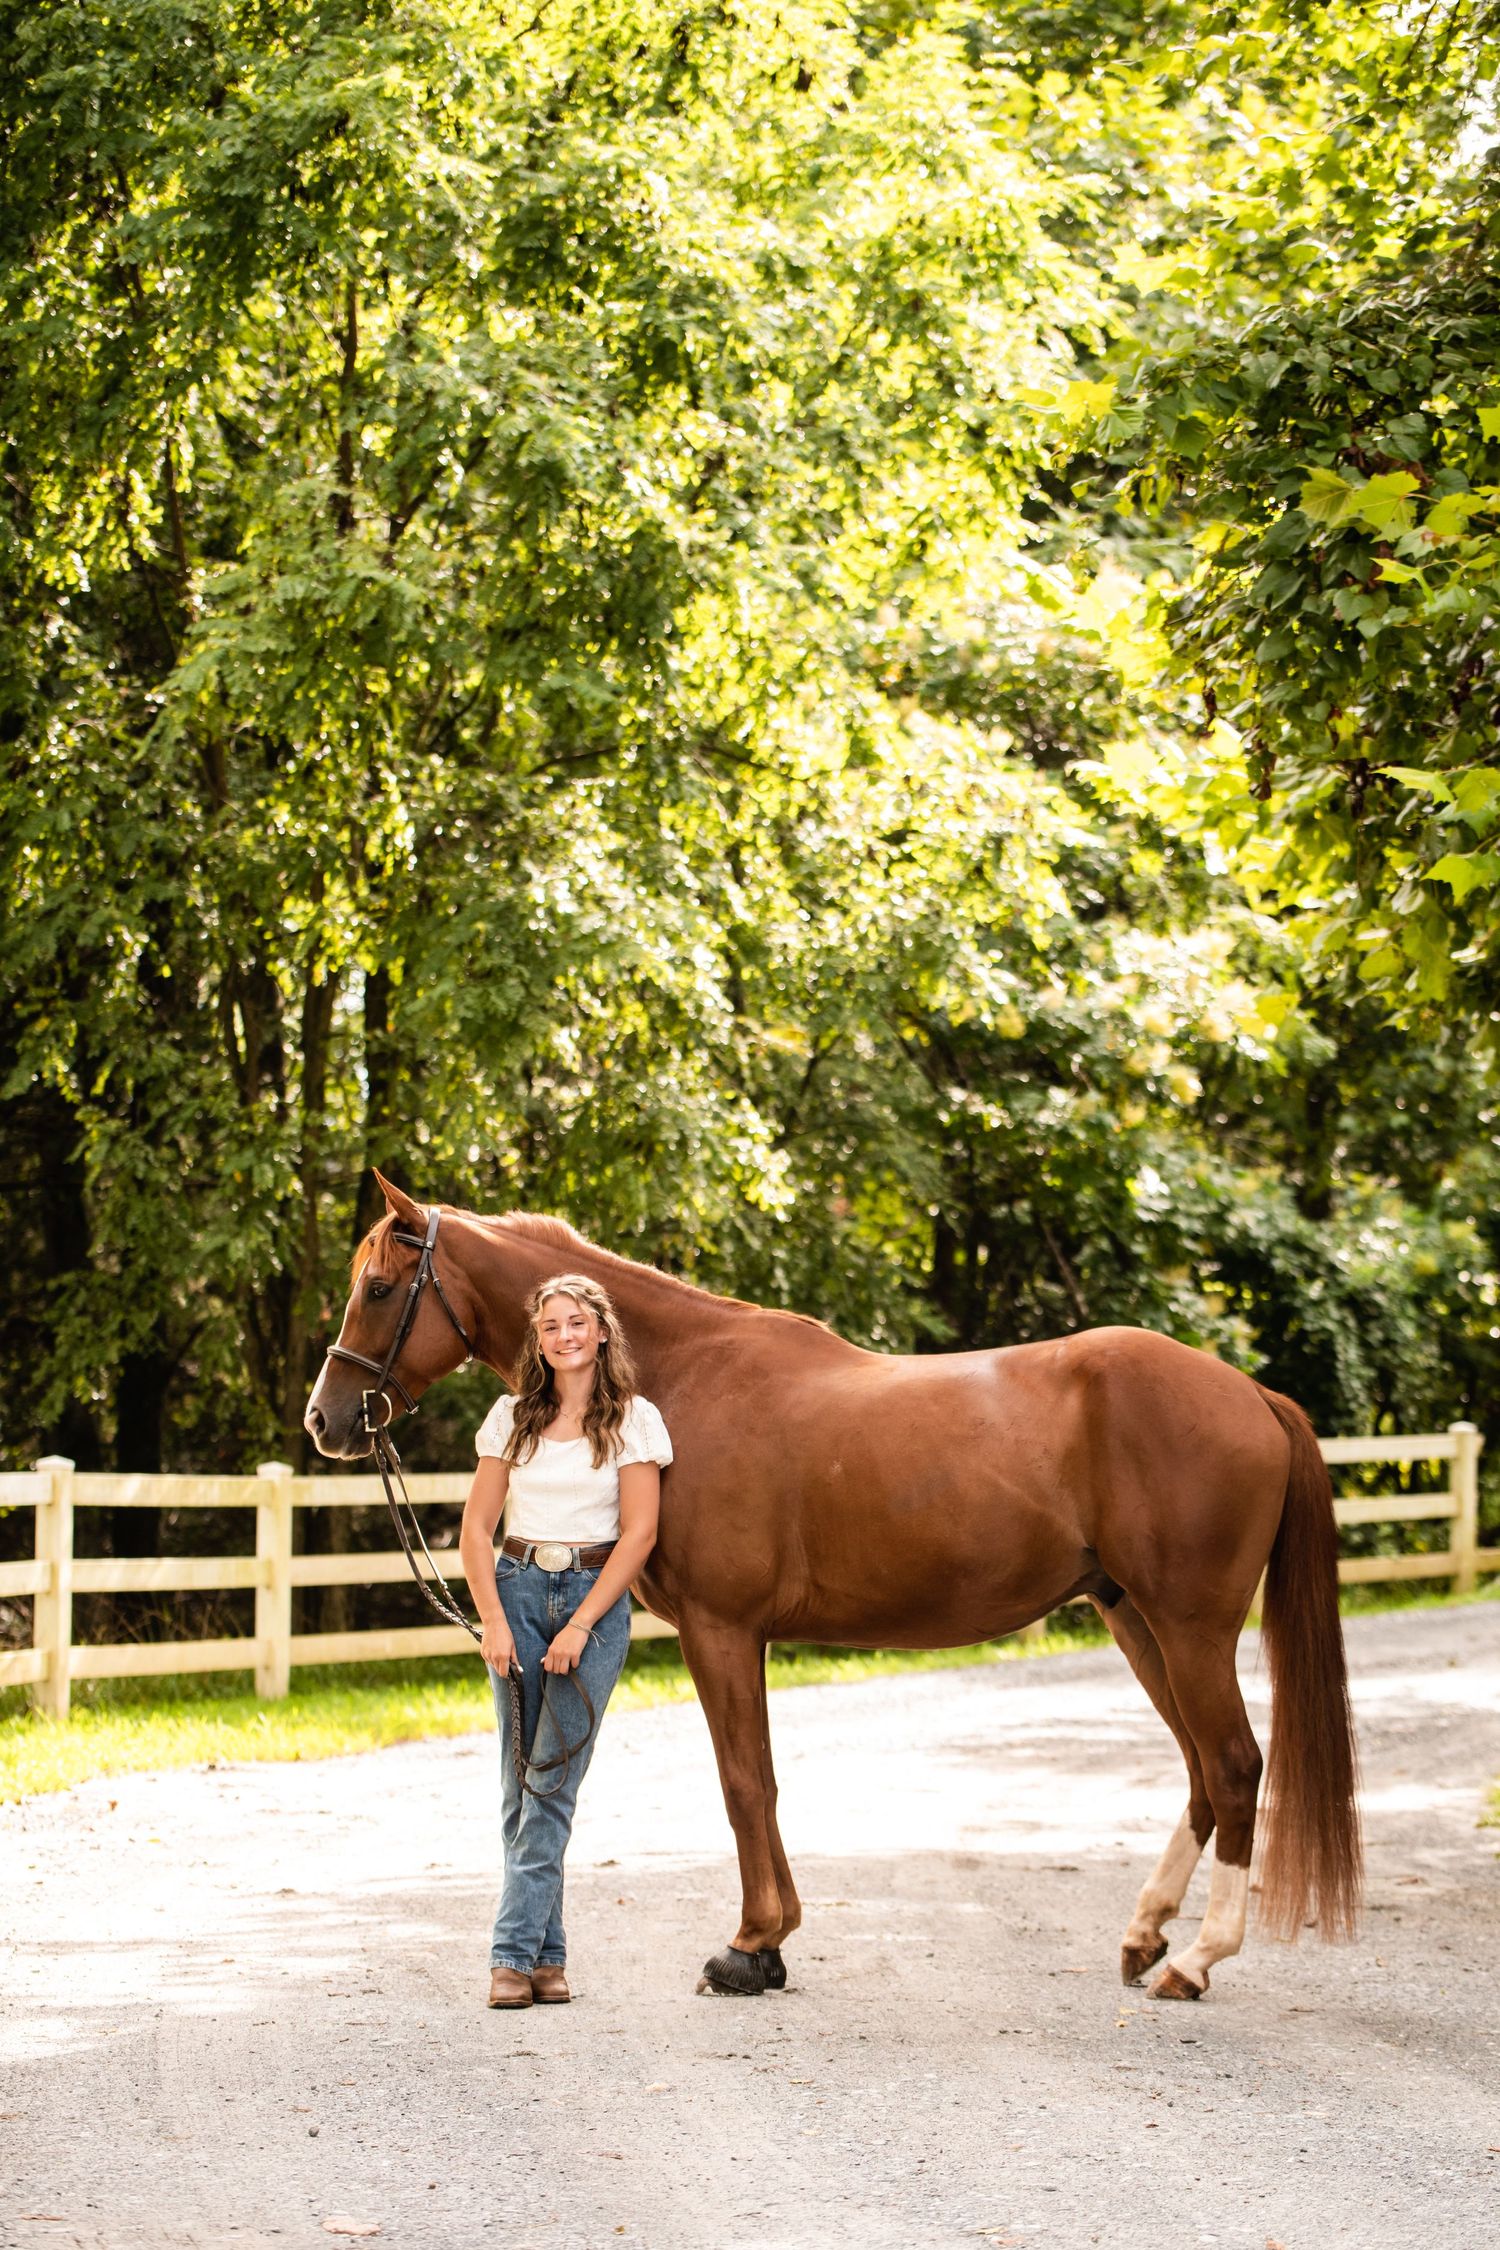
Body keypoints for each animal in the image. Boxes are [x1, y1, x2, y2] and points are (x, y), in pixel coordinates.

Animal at [304, 1174, 1360, 2002]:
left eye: (379, 1287)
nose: (326, 1420)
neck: (681, 1378)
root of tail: (1250, 1393)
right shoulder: (745, 1636)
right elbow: (762, 1779)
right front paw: (771, 1946)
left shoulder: (723, 1630)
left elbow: (742, 1783)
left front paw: (749, 1947)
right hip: (1136, 1620)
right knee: (1201, 1774)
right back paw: (1147, 1937)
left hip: (1189, 1627)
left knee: (1234, 1768)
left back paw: (1196, 1960)